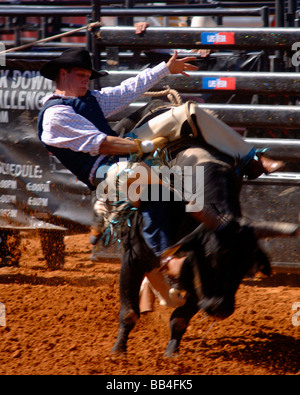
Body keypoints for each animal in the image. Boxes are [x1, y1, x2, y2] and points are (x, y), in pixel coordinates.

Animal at [106, 101, 298, 358]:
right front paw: (118, 352)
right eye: (211, 254)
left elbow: (180, 318)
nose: (220, 308)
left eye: (247, 265)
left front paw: (171, 355)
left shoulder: (195, 274)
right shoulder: (133, 258)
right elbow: (128, 312)